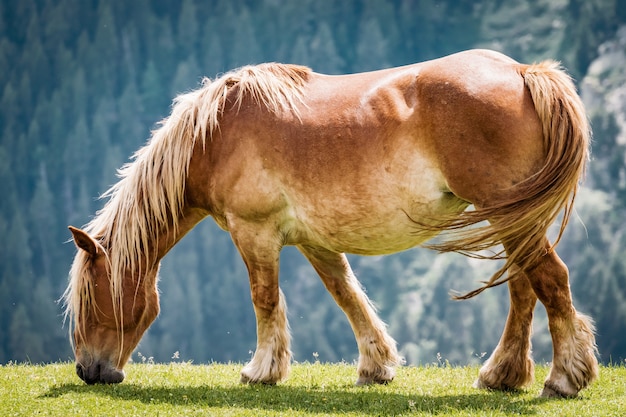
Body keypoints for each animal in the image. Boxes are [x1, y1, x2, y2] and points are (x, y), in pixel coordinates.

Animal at [63, 48, 596, 396]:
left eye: (91, 298)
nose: (89, 371)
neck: (214, 135)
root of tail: (523, 72)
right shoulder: (314, 240)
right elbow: (347, 295)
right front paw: (376, 366)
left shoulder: (254, 231)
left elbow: (264, 298)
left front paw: (261, 371)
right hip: (512, 218)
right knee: (524, 288)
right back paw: (502, 375)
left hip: (509, 216)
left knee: (551, 280)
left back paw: (563, 378)